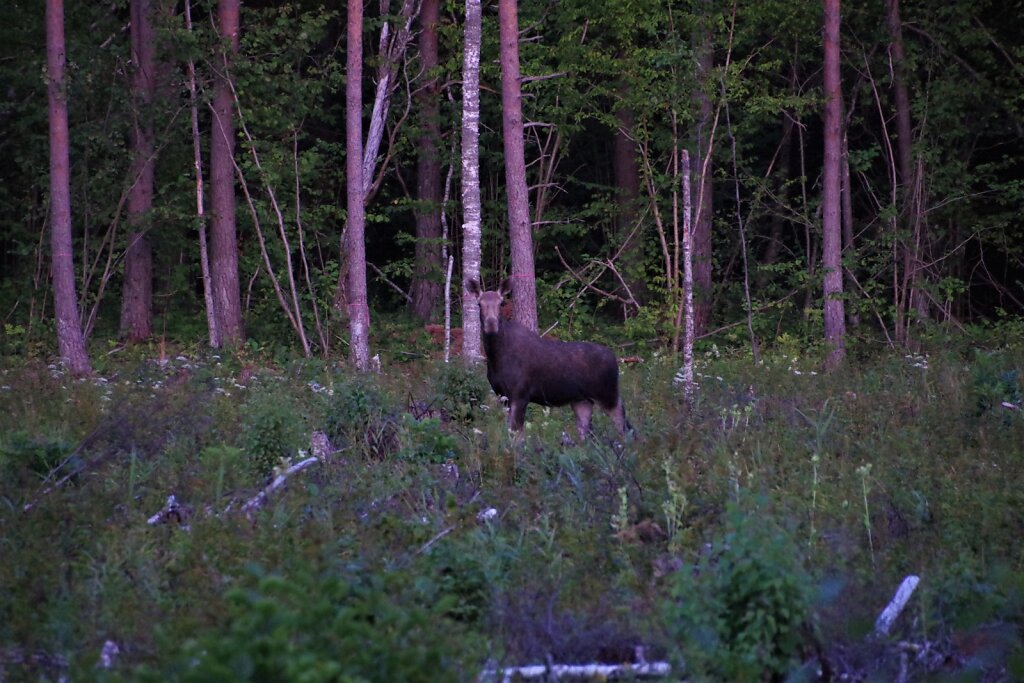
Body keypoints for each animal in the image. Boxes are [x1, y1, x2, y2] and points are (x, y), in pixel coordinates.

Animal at [466, 278, 630, 444]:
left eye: (501, 303)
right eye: (479, 304)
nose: (491, 324)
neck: (496, 356)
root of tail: (615, 358)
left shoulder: (520, 394)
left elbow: (517, 436)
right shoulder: (502, 396)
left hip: (607, 394)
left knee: (624, 424)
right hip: (581, 400)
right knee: (588, 433)